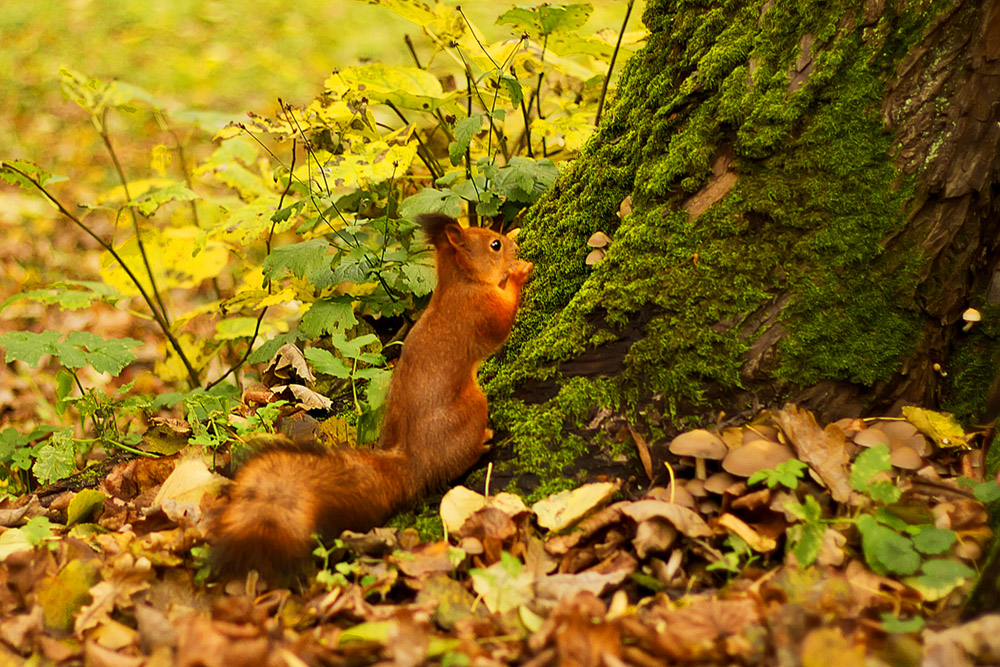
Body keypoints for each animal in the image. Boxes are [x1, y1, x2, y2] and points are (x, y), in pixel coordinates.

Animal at [213, 215, 532, 580]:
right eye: (494, 245)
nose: (514, 246)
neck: (459, 285)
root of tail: (411, 465)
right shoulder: (481, 311)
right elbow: (503, 322)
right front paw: (520, 271)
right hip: (473, 407)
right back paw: (482, 441)